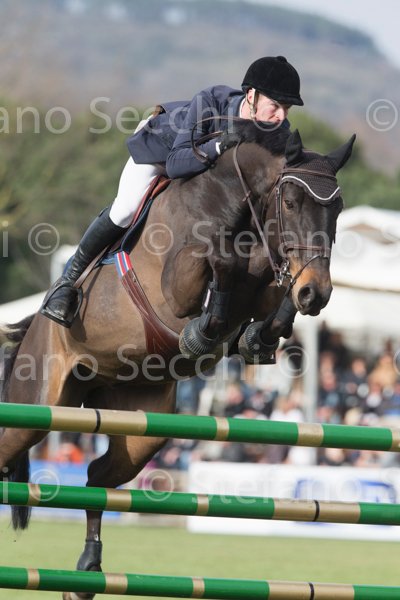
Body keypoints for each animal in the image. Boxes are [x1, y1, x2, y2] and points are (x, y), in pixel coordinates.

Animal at [0, 121, 355, 600]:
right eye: (291, 202)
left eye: (337, 209)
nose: (317, 292)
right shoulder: (178, 284)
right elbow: (219, 263)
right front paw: (202, 329)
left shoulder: (268, 282)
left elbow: (272, 298)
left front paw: (256, 337)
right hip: (37, 406)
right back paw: (61, 298)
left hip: (139, 428)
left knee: (97, 478)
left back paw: (87, 570)